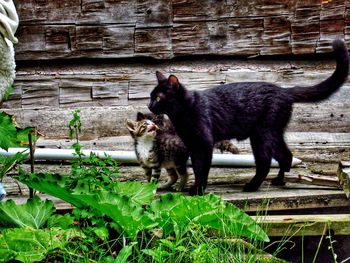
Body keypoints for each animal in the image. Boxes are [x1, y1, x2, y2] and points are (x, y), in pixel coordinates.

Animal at [148, 39, 350, 196]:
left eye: (158, 98)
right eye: (151, 96)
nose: (149, 105)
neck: (183, 113)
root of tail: (283, 90)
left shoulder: (203, 143)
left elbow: (201, 167)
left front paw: (198, 190)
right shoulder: (191, 144)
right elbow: (196, 167)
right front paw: (195, 187)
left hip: (262, 134)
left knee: (266, 162)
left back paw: (252, 186)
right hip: (272, 133)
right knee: (286, 156)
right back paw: (278, 181)